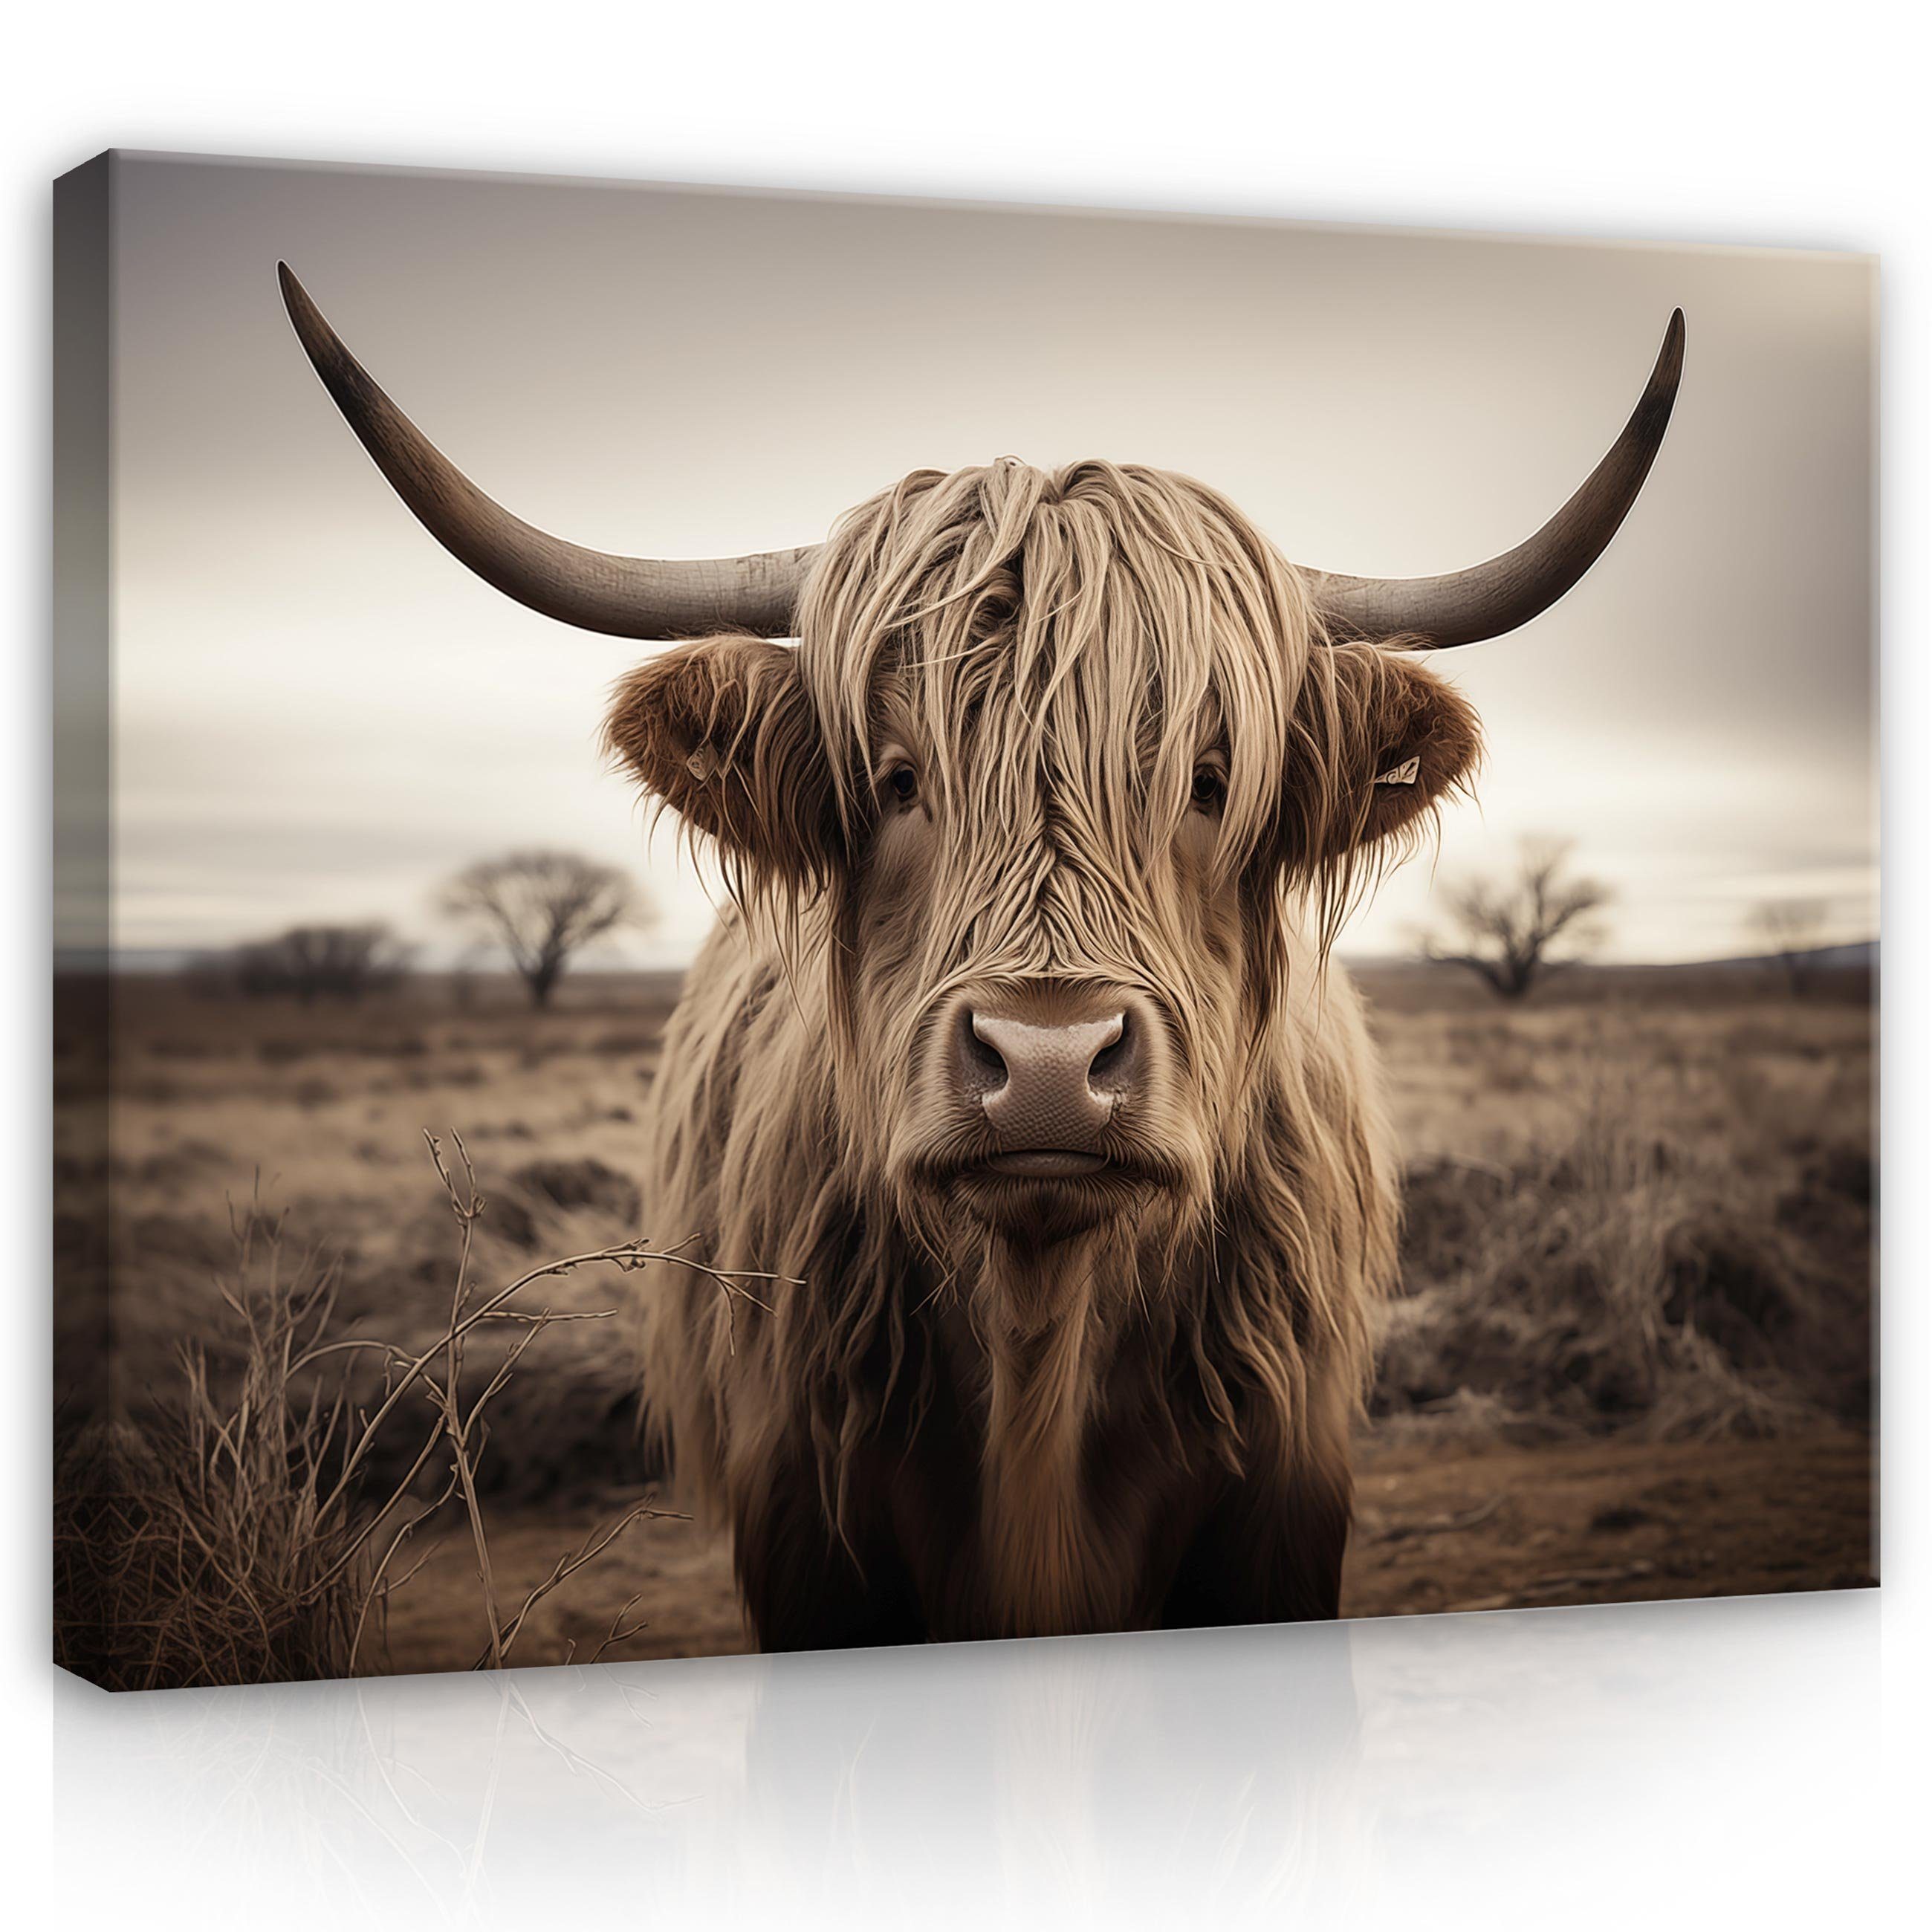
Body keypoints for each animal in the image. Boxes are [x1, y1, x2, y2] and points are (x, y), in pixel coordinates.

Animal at [280, 266, 1681, 1648]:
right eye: (900, 780)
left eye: (1208, 781)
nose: (1050, 1064)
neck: (1037, 1343)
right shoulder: (807, 1532)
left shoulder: (1280, 1507)